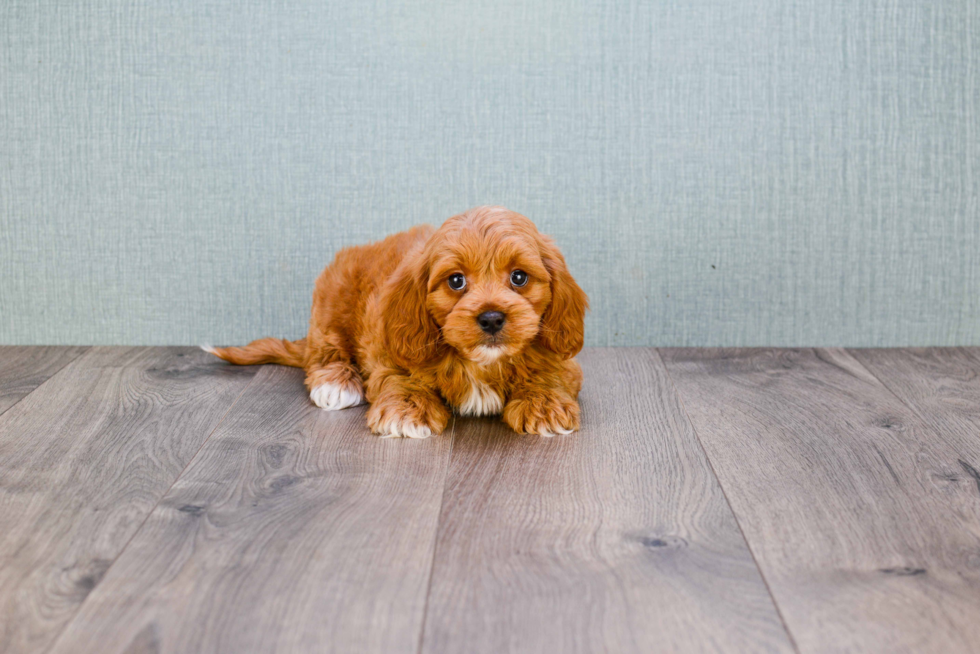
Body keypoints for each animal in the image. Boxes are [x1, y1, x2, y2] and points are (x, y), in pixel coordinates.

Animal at [206, 208, 584, 438]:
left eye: (519, 277)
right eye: (456, 281)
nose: (491, 318)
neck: (482, 363)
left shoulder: (560, 356)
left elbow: (550, 372)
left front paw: (545, 405)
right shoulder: (390, 347)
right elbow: (400, 377)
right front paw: (407, 412)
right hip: (332, 300)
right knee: (326, 350)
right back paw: (335, 382)